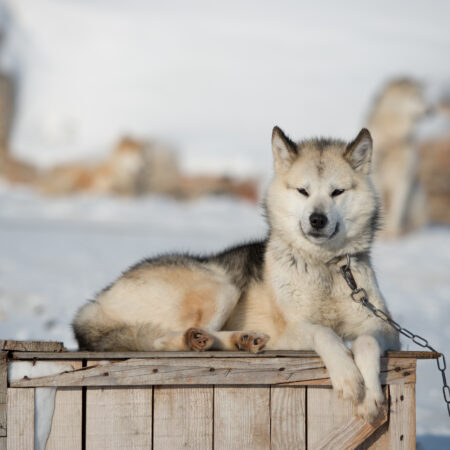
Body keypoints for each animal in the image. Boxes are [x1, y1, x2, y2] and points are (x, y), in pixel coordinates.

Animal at [72, 126, 400, 422]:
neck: (324, 267)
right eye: (303, 191)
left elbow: (366, 342)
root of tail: (95, 303)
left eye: (337, 192)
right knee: (161, 341)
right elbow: (325, 332)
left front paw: (371, 396)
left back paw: (238, 339)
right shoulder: (294, 329)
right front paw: (348, 377)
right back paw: (205, 339)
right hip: (221, 286)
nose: (316, 219)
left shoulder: (385, 329)